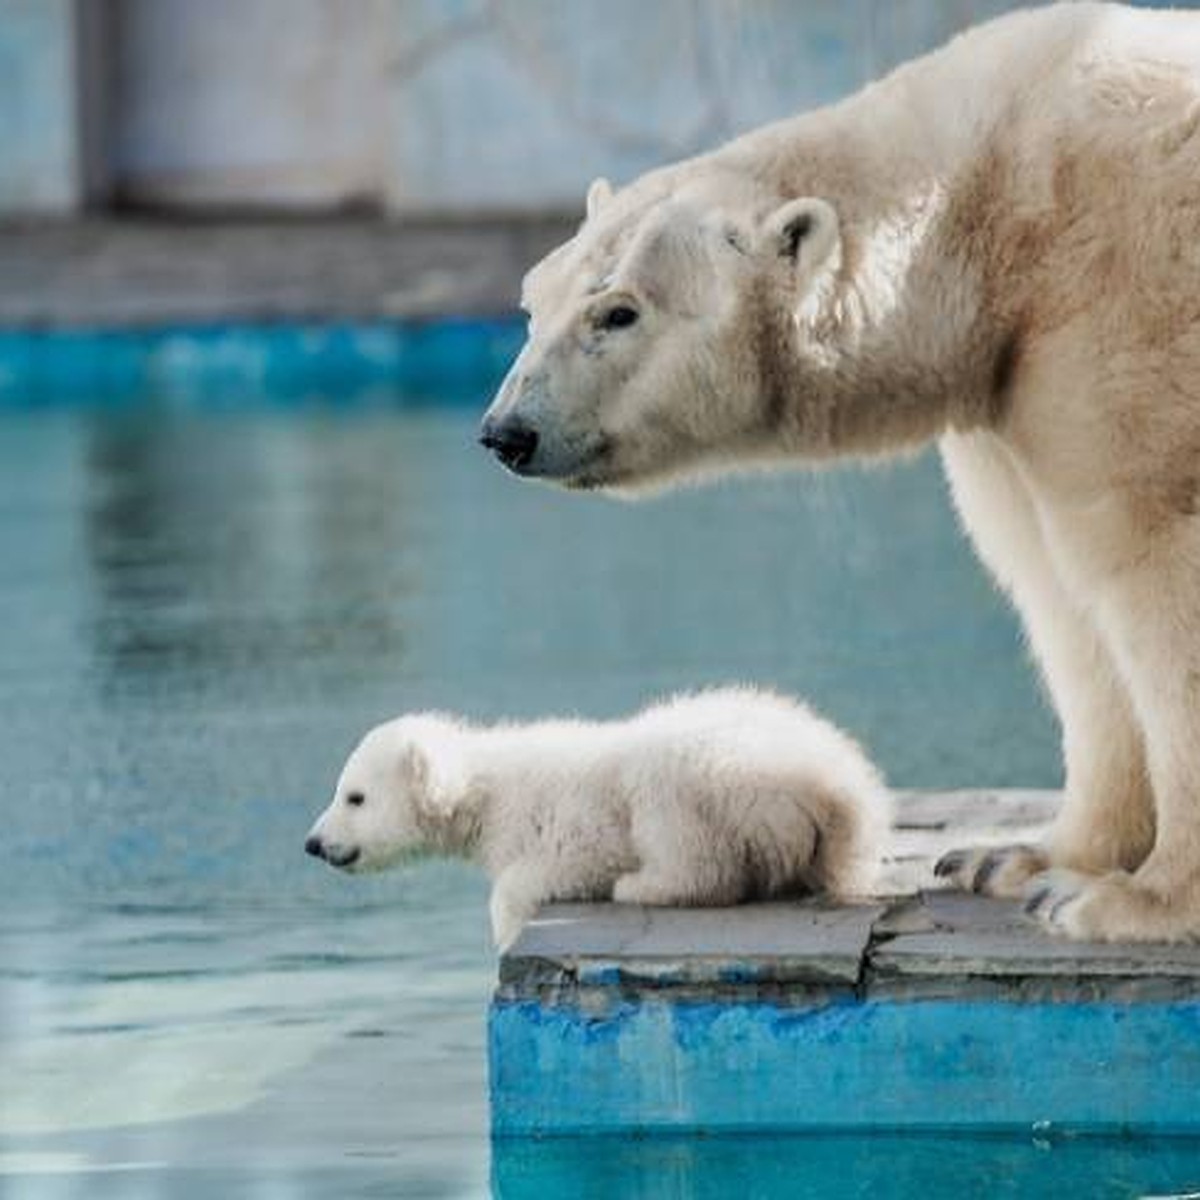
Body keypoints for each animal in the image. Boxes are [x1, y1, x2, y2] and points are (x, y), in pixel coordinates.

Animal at [482, 2, 1200, 945]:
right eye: (534, 302)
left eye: (619, 312)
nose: (507, 432)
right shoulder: (1014, 373)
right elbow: (1056, 590)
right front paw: (1021, 862)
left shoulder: (1121, 306)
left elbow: (1156, 569)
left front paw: (1131, 902)